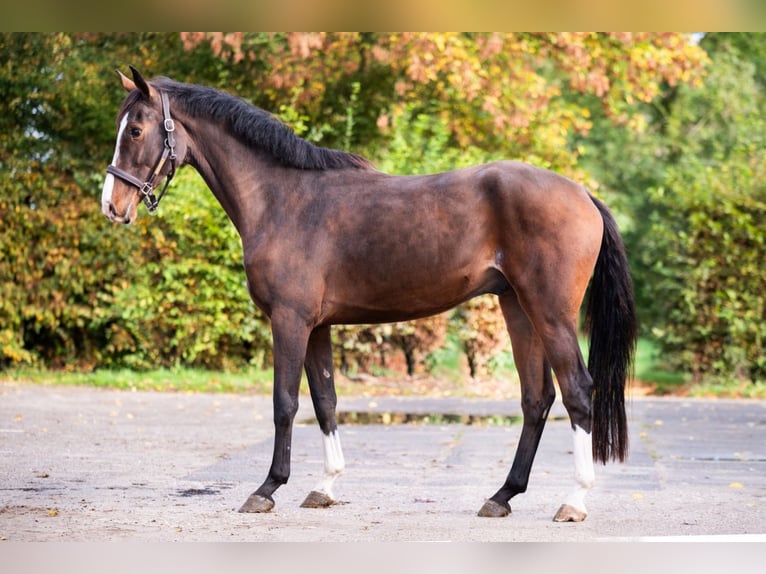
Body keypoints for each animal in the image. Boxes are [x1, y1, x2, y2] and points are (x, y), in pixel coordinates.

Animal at [102, 66, 640, 520]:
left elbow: (284, 402)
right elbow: (325, 400)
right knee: (536, 399)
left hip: (550, 312)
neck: (282, 199)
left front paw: (267, 489)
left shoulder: (290, 320)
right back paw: (502, 496)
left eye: (136, 130)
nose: (112, 205)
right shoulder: (316, 325)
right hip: (518, 308)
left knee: (577, 392)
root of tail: (581, 194)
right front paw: (324, 487)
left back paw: (573, 501)